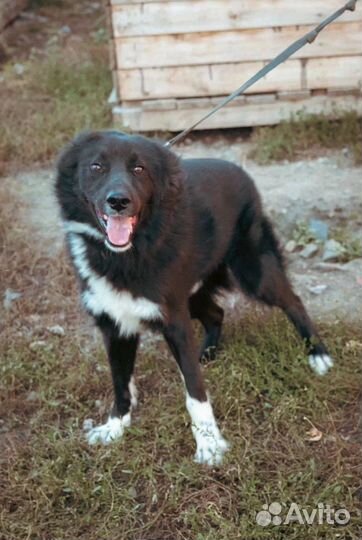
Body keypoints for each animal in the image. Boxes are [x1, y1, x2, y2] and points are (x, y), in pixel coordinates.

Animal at [55, 130, 332, 464]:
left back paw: (318, 353)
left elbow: (195, 393)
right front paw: (115, 426)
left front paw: (209, 443)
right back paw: (207, 352)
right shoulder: (114, 323)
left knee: (293, 302)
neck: (124, 255)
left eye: (139, 169)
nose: (118, 201)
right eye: (96, 166)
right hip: (191, 292)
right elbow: (119, 382)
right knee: (216, 314)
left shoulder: (174, 321)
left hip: (253, 272)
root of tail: (238, 169)